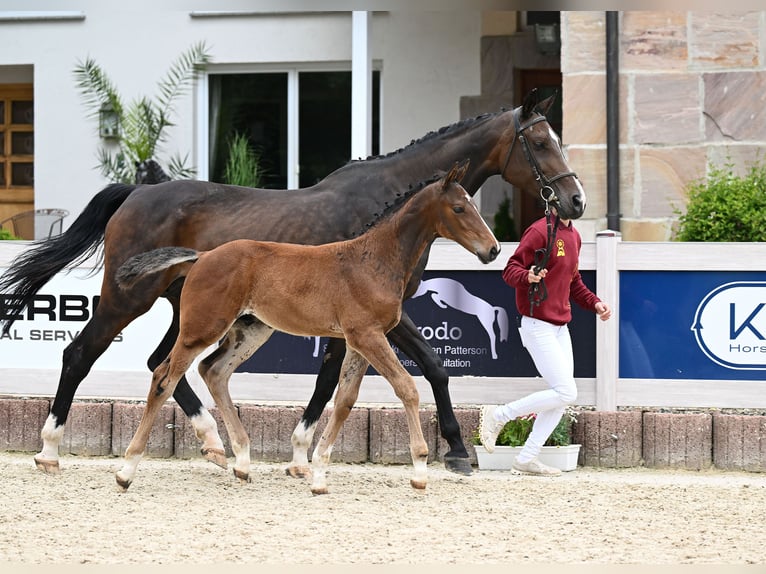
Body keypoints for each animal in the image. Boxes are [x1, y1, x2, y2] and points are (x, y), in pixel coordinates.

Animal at [112, 162, 498, 496]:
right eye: (459, 208)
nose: (493, 249)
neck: (374, 259)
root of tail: (202, 256)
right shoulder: (369, 336)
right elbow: (407, 388)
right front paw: (419, 471)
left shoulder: (357, 342)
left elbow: (344, 401)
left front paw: (319, 474)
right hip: (201, 329)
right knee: (164, 377)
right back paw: (127, 471)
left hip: (251, 330)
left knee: (214, 371)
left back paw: (242, 462)